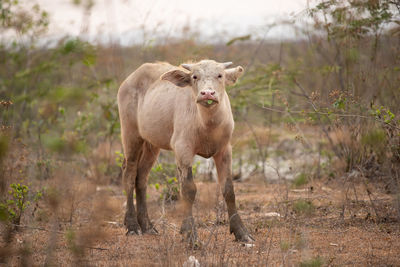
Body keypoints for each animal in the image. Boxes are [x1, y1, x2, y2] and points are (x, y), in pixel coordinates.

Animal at [116, 59, 253, 246]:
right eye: (195, 76)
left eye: (220, 75)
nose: (207, 93)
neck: (207, 124)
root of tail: (129, 80)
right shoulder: (183, 149)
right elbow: (188, 190)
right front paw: (190, 235)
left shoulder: (225, 150)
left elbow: (228, 190)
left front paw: (241, 232)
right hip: (131, 135)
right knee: (129, 173)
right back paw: (132, 226)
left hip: (152, 144)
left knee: (141, 177)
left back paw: (147, 225)